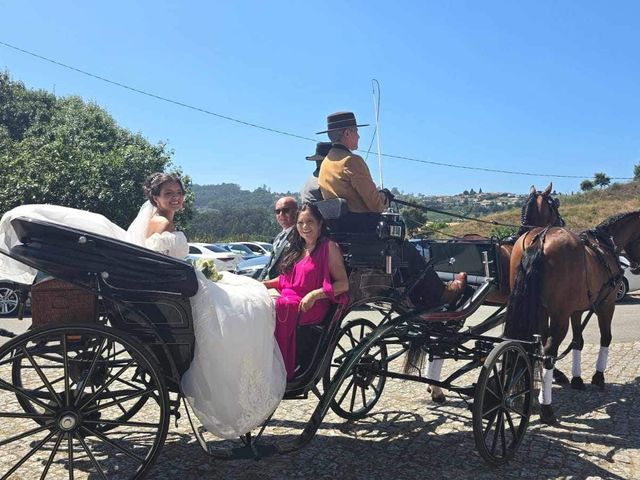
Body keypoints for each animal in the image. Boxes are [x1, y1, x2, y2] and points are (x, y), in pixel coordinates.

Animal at [504, 210, 640, 424]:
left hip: (537, 310)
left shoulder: (576, 311)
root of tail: (541, 237)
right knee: (549, 353)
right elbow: (606, 338)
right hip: (559, 316)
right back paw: (546, 409)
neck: (605, 246)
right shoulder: (607, 305)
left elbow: (578, 342)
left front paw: (577, 379)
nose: (636, 267)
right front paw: (598, 377)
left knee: (533, 345)